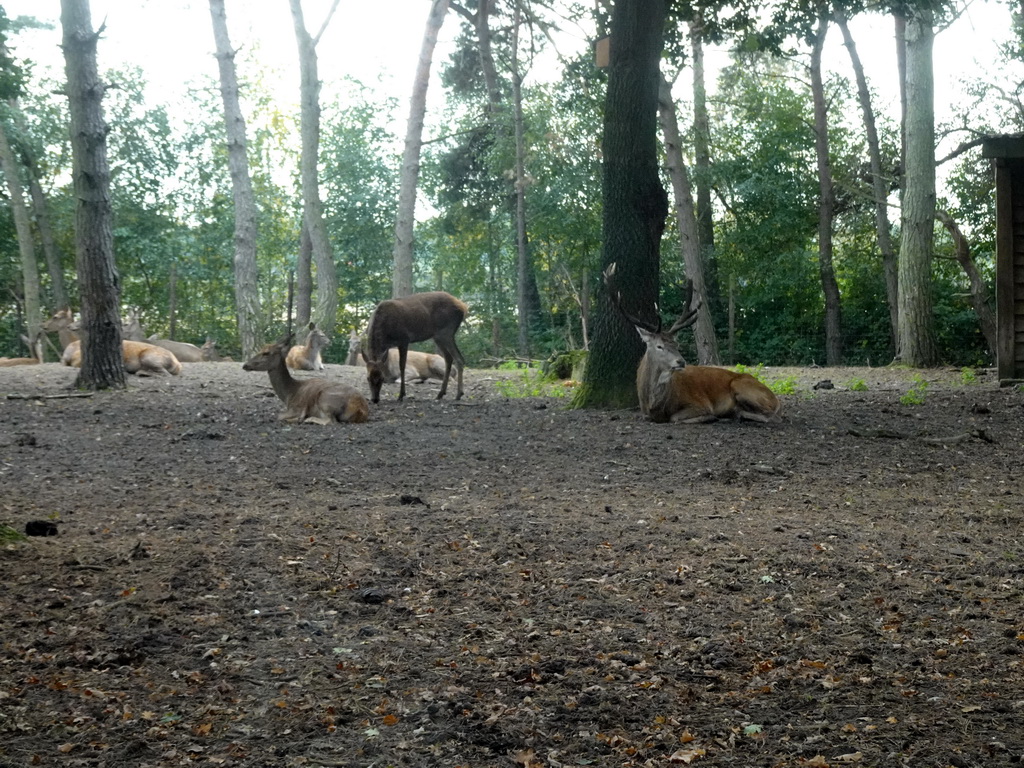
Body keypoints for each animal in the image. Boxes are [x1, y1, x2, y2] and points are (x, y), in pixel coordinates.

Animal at [602, 266, 778, 428]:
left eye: (676, 344)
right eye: (659, 346)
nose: (681, 361)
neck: (654, 404)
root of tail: (774, 397)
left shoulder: (700, 403)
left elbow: (675, 418)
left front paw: (711, 417)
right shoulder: (644, 413)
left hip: (741, 386)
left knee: (770, 415)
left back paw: (737, 415)